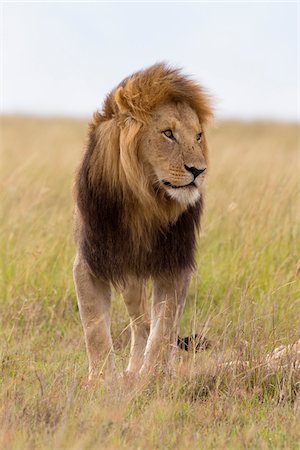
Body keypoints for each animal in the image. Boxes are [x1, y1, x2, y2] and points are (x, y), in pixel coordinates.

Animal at [73, 62, 212, 380]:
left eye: (198, 136)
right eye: (168, 133)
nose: (198, 171)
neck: (147, 198)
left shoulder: (175, 263)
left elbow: (164, 327)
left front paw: (153, 377)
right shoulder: (91, 261)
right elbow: (95, 330)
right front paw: (102, 381)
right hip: (129, 276)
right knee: (139, 322)